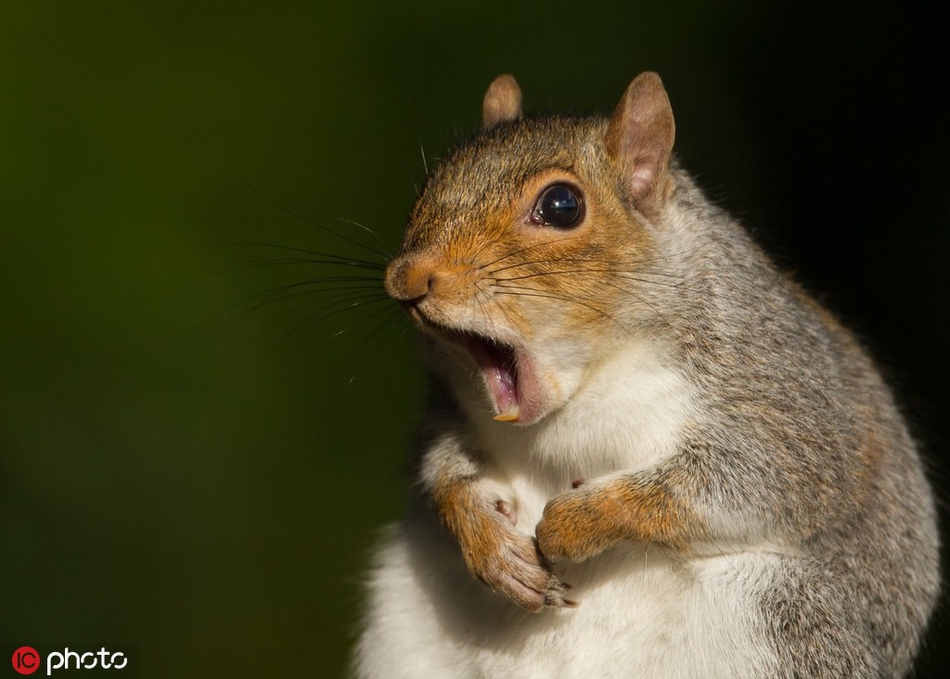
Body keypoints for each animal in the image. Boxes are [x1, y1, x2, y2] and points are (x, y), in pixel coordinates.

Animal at [352, 71, 944, 676]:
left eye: (561, 205)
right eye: (429, 184)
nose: (406, 278)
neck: (585, 387)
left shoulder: (785, 396)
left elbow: (748, 481)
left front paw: (577, 521)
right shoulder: (450, 408)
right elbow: (443, 467)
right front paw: (488, 541)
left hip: (788, 618)